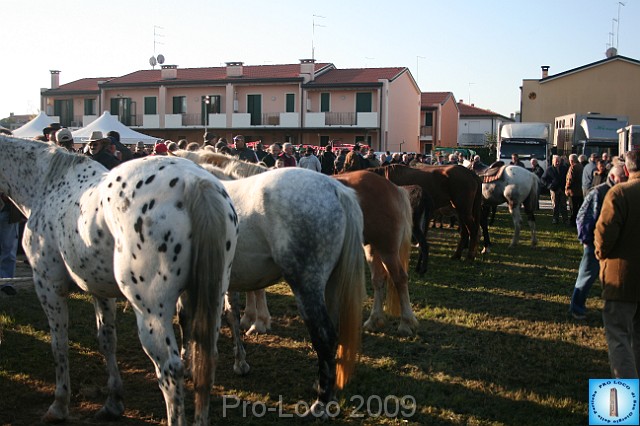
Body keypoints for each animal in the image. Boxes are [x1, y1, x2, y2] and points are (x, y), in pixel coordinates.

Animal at [0, 136, 238, 426]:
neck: (47, 185)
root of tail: (194, 183)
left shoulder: (48, 286)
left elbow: (59, 344)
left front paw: (59, 404)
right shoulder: (99, 290)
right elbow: (106, 340)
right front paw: (113, 402)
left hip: (151, 312)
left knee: (169, 370)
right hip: (212, 299)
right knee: (207, 360)